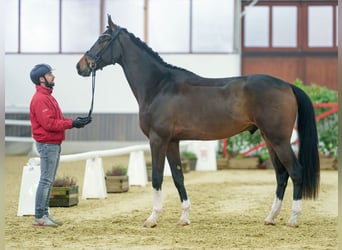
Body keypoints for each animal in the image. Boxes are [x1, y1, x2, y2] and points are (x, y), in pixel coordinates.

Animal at [76, 14, 320, 228]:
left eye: (103, 39)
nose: (81, 66)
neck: (158, 86)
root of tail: (287, 85)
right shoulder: (172, 142)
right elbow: (178, 177)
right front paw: (184, 218)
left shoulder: (157, 139)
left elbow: (157, 178)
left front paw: (152, 219)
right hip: (269, 139)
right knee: (281, 174)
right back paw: (270, 218)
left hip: (279, 140)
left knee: (295, 172)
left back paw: (293, 219)